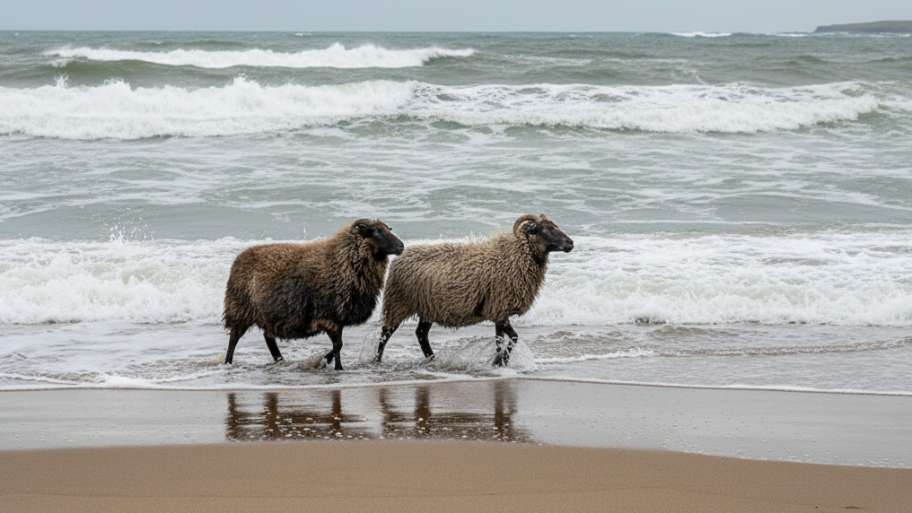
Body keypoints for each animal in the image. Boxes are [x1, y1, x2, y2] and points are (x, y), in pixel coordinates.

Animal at [223, 219, 404, 370]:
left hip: (267, 315)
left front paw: (327, 361)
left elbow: (338, 345)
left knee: (269, 339)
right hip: (240, 309)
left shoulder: (338, 318)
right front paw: (333, 365)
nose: (401, 246)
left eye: (387, 229)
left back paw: (280, 360)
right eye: (376, 231)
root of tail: (239, 258)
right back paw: (228, 362)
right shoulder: (329, 317)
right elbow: (338, 345)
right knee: (234, 339)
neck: (343, 261)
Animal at [376, 214, 573, 367]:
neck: (516, 254)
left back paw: (432, 359)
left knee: (421, 334)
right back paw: (377, 360)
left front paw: (499, 362)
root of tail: (400, 258)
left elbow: (503, 339)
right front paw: (499, 361)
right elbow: (510, 338)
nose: (570, 243)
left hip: (427, 308)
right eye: (545, 230)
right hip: (398, 303)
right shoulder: (499, 308)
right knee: (385, 334)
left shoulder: (499, 311)